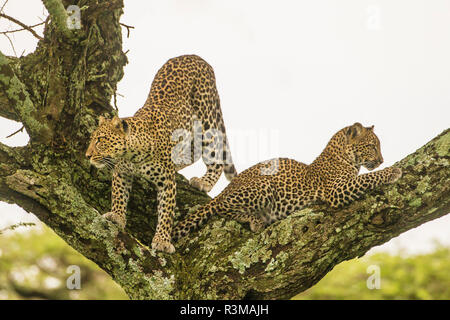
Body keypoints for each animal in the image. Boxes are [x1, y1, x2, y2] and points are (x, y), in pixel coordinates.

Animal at [85, 56, 237, 254]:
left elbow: (166, 212)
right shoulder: (121, 172)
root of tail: (196, 57)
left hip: (207, 116)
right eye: (92, 139)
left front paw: (163, 241)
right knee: (194, 151)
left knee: (215, 154)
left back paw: (204, 182)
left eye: (100, 140)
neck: (134, 155)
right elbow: (118, 195)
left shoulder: (167, 182)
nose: (87, 155)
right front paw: (116, 216)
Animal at [171, 122, 400, 240]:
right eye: (371, 146)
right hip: (262, 185)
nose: (382, 160)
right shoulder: (335, 191)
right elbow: (367, 177)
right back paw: (255, 220)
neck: (346, 158)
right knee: (223, 208)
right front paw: (393, 171)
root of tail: (226, 189)